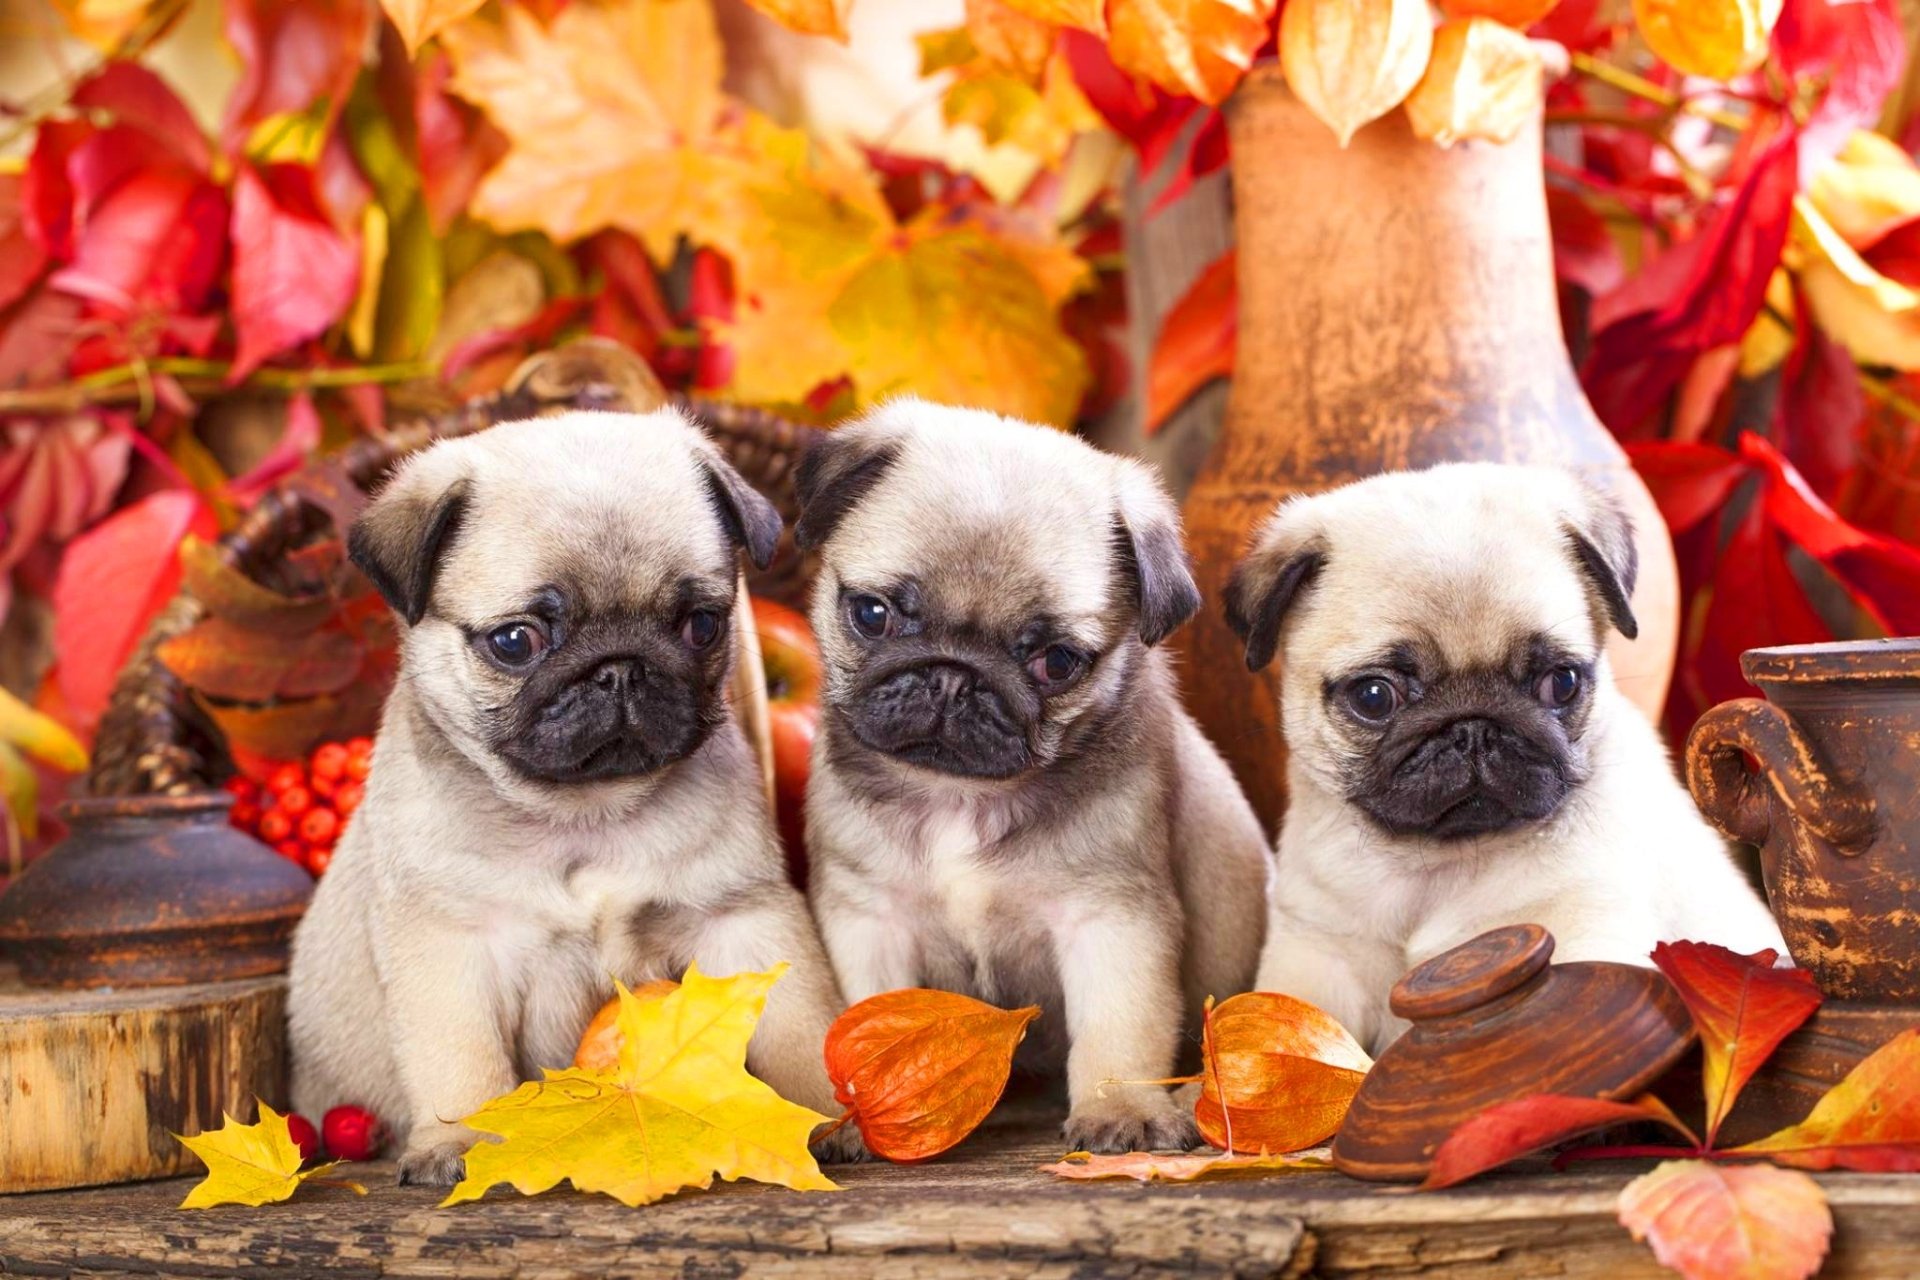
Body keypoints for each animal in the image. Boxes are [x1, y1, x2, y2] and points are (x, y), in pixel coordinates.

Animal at [284, 412, 856, 1189]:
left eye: (701, 624)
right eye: (516, 641)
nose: (620, 668)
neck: (583, 813)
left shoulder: (743, 918)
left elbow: (797, 1021)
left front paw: (817, 1114)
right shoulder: (450, 949)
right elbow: (462, 1061)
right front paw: (460, 1144)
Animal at [794, 402, 1274, 1159]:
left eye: (1056, 662)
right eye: (872, 614)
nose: (953, 676)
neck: (960, 797)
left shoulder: (1111, 920)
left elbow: (1117, 1030)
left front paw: (1121, 1112)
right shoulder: (870, 919)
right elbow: (871, 1019)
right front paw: (857, 1118)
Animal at [1228, 466, 1781, 1059]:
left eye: (1561, 682)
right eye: (1374, 697)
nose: (1473, 728)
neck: (1439, 864)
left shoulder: (1583, 933)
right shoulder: (1316, 955)